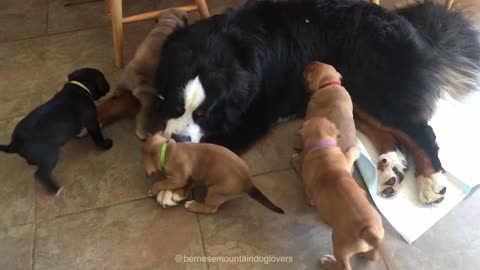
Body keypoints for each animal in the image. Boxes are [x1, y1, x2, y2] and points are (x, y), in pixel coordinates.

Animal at [102, 8, 188, 139]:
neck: (167, 22)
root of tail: (137, 81)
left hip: (122, 83)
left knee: (115, 92)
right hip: (148, 101)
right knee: (141, 117)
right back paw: (143, 133)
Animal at [142, 131, 284, 215]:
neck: (167, 150)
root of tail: (248, 182)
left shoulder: (176, 178)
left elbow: (161, 183)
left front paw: (153, 190)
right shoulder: (192, 175)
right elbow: (188, 183)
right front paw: (177, 194)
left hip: (215, 192)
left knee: (211, 208)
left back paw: (192, 205)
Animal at [154, 0, 480, 206]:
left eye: (204, 114)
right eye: (175, 107)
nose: (178, 139)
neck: (221, 47)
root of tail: (409, 24)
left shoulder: (252, 116)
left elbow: (211, 147)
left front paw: (175, 184)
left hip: (373, 87)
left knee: (420, 132)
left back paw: (430, 181)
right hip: (352, 90)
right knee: (384, 130)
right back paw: (390, 168)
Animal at [290, 117, 384, 270]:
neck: (322, 145)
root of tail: (367, 229)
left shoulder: (308, 193)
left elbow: (300, 167)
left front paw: (295, 159)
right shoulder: (345, 161)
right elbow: (349, 155)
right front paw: (355, 150)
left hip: (340, 246)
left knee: (344, 265)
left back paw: (328, 262)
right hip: (379, 236)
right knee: (372, 255)